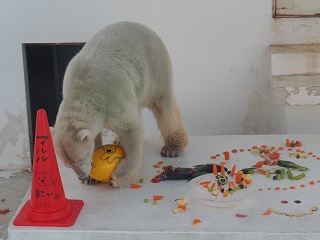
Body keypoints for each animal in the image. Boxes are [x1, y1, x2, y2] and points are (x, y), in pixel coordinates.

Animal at [52, 22, 188, 188]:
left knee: (164, 106)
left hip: (156, 70)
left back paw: (173, 147)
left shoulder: (113, 98)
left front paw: (120, 177)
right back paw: (117, 140)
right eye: (67, 165)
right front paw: (91, 178)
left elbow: (131, 128)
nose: (81, 176)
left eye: (81, 161)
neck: (82, 89)